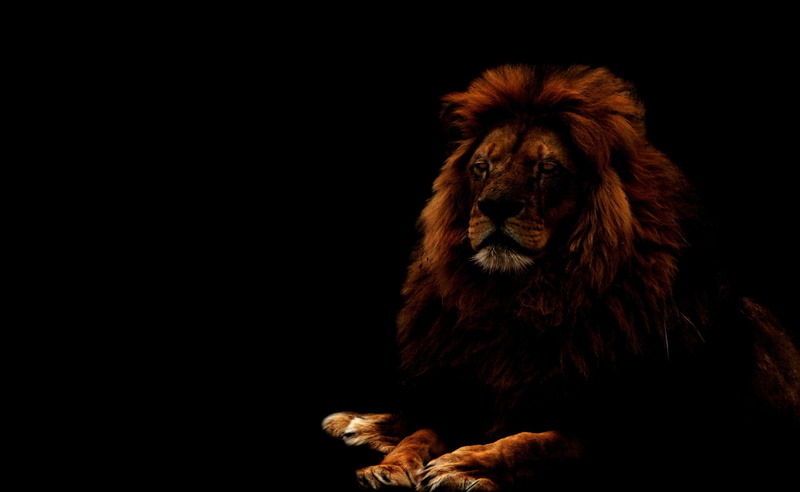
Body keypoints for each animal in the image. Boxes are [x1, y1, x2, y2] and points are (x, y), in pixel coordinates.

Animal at [322, 64, 800, 490]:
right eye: (482, 167)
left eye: (548, 169)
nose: (494, 205)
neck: (523, 297)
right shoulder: (473, 392)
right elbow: (423, 430)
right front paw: (390, 465)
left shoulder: (627, 431)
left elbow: (536, 442)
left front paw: (465, 464)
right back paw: (355, 422)